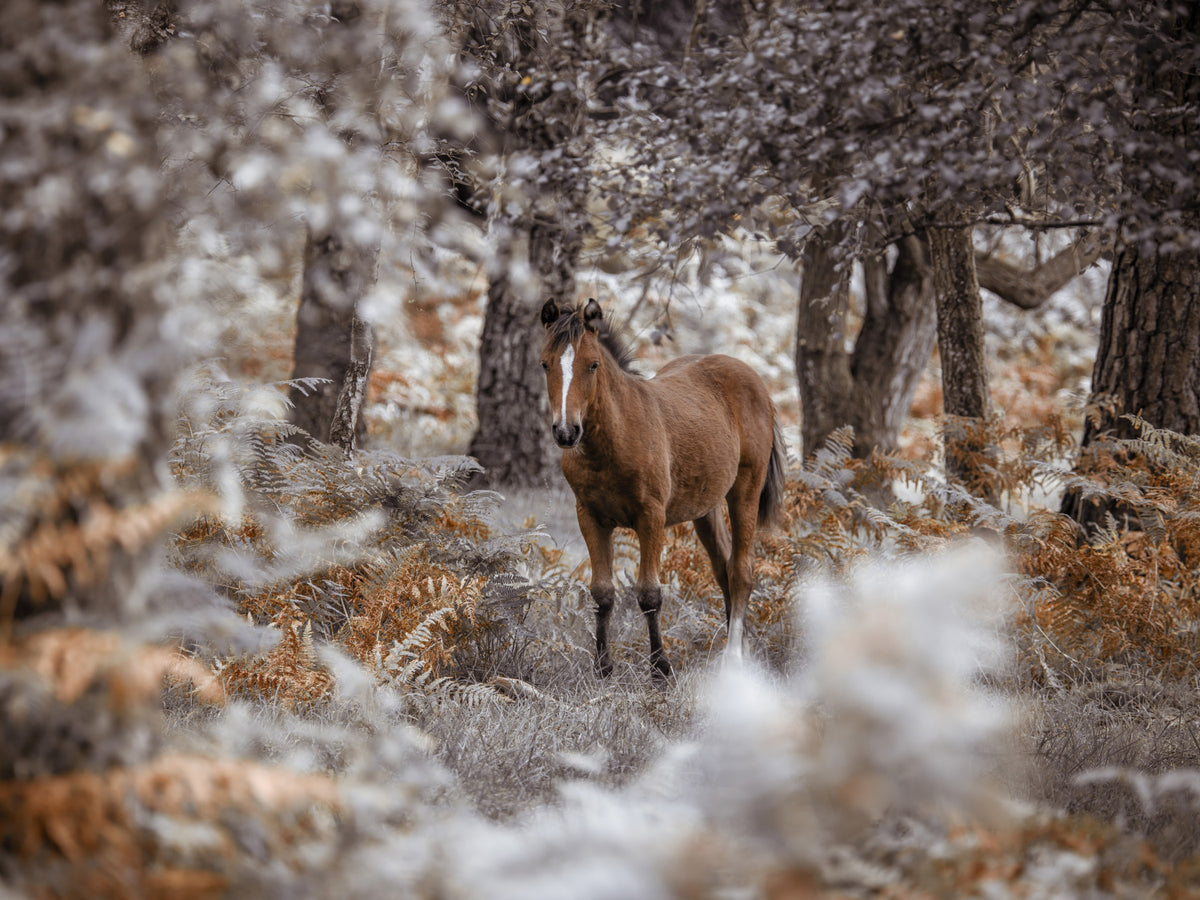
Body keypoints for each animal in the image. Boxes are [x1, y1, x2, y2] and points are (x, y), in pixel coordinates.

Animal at [539, 298, 786, 678]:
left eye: (593, 364)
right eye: (545, 364)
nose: (566, 432)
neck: (615, 439)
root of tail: (754, 380)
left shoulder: (651, 517)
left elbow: (649, 594)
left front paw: (660, 668)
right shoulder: (590, 517)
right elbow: (602, 593)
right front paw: (603, 667)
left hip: (745, 489)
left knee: (742, 571)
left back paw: (733, 658)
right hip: (706, 509)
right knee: (724, 569)